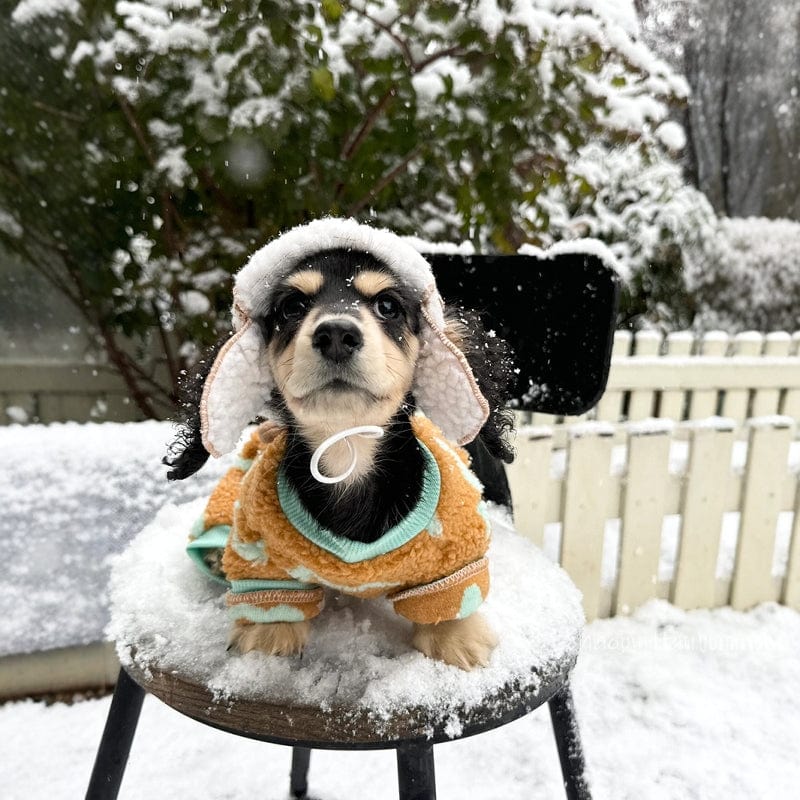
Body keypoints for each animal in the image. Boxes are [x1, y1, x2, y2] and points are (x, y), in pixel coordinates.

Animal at [166, 217, 516, 668]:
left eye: (388, 305)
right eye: (291, 307)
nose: (335, 333)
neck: (345, 447)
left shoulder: (452, 555)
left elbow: (449, 596)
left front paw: (455, 638)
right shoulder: (262, 551)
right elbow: (271, 599)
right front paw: (268, 637)